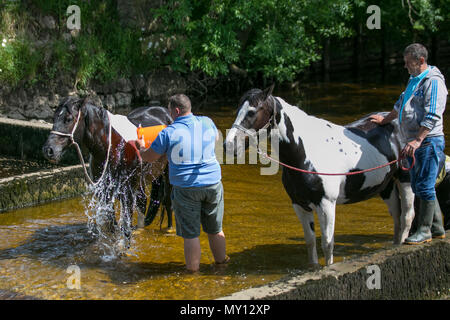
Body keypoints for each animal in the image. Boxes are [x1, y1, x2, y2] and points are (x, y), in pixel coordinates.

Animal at [225, 86, 414, 266]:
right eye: (237, 110)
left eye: (251, 111)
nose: (229, 145)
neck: (306, 152)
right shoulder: (299, 205)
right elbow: (310, 242)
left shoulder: (326, 205)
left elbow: (327, 243)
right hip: (387, 186)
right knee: (397, 218)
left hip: (405, 180)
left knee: (406, 217)